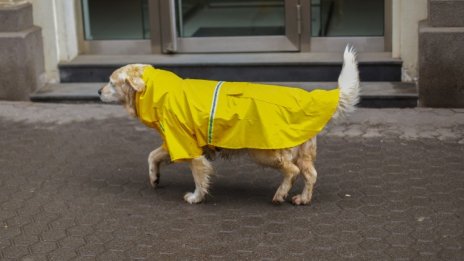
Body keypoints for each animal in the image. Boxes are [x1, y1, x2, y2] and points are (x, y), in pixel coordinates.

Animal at [98, 46, 358, 205]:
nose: (98, 91)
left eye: (111, 82)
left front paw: (195, 197)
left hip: (265, 152)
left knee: (292, 171)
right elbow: (152, 155)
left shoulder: (188, 146)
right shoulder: (175, 141)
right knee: (311, 174)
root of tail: (308, 100)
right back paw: (302, 198)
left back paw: (280, 194)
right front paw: (154, 178)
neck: (155, 91)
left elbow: (198, 175)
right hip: (302, 151)